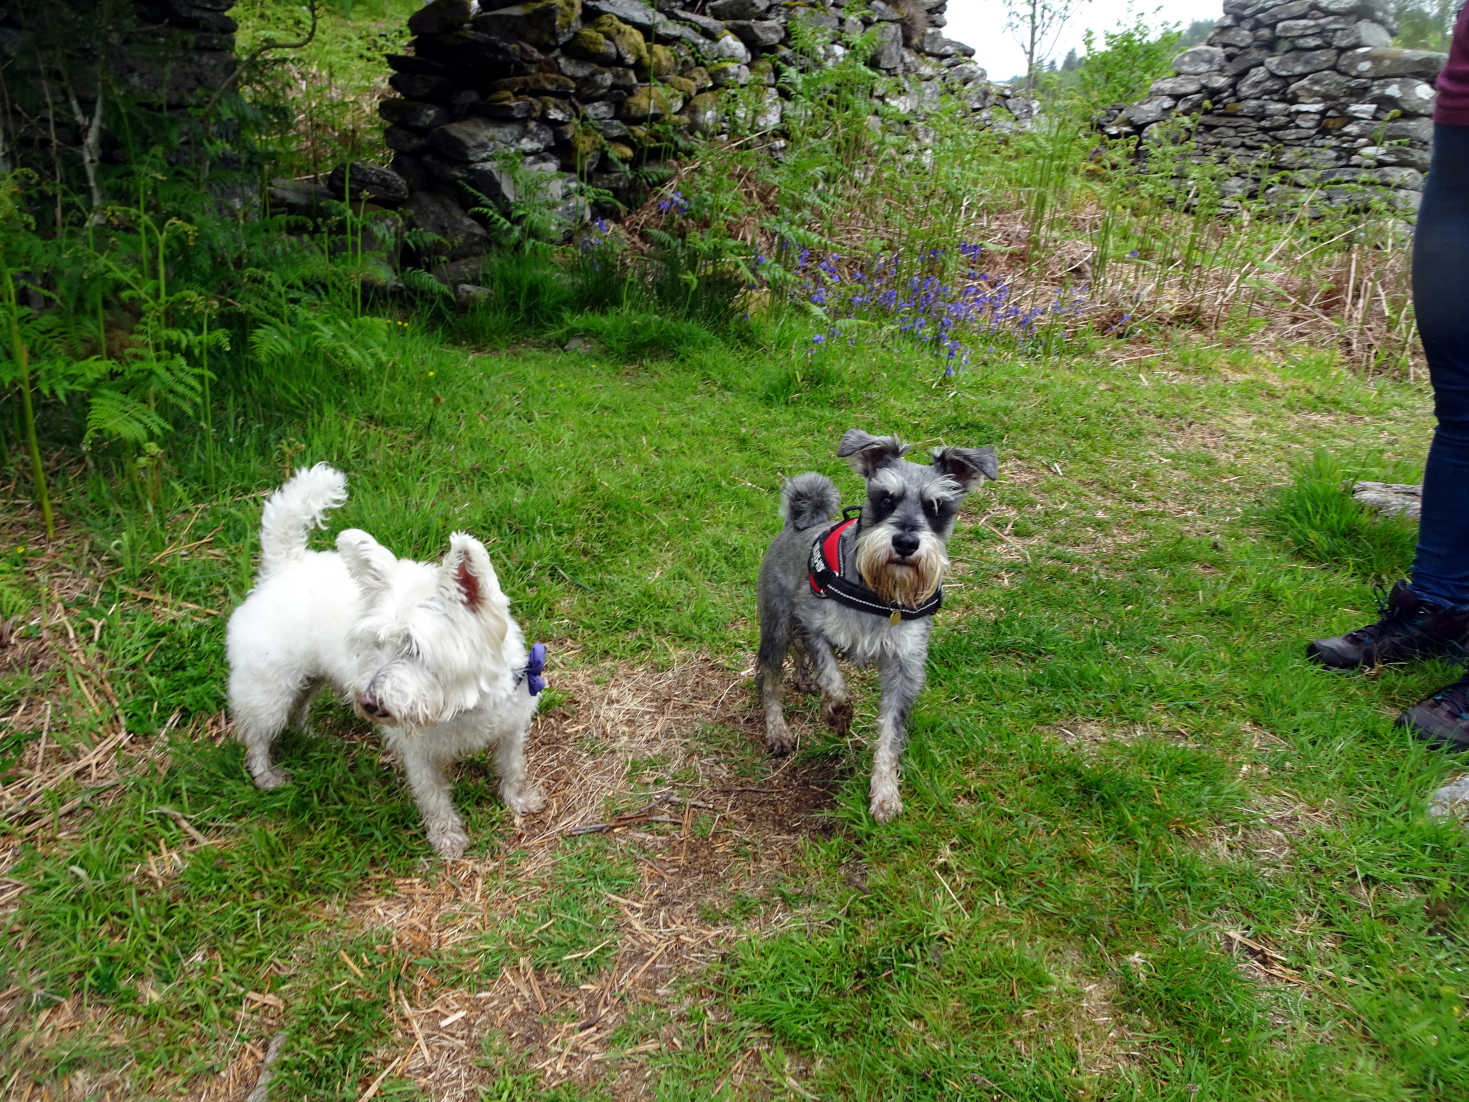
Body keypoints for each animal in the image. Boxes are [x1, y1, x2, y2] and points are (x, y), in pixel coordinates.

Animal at [226, 461, 549, 858]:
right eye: (375, 644)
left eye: (415, 649)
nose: (367, 702)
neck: (465, 705)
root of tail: (284, 565)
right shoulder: (420, 756)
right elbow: (433, 798)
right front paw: (447, 838)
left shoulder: (510, 730)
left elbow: (511, 768)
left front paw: (518, 799)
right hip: (268, 690)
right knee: (257, 736)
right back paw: (267, 776)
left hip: (308, 678)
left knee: (298, 707)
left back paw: (310, 738)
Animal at [758, 426, 998, 822]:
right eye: (885, 498)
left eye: (937, 507)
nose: (905, 542)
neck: (882, 595)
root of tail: (799, 521)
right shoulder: (814, 624)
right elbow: (834, 680)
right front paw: (838, 716)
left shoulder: (906, 666)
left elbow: (890, 735)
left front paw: (885, 794)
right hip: (775, 623)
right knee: (769, 676)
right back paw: (777, 729)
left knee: (795, 653)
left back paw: (805, 680)